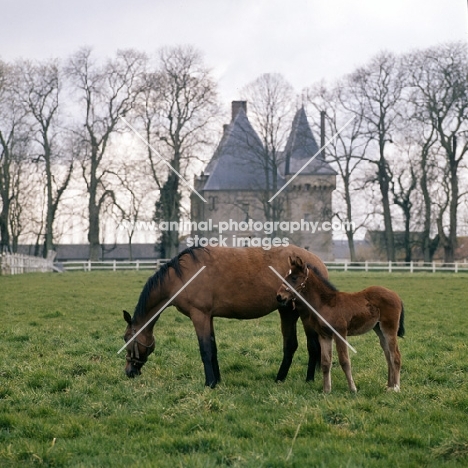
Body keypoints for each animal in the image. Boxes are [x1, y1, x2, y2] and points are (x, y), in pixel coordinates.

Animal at [123, 245, 330, 388]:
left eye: (126, 339)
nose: (129, 372)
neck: (181, 278)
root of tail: (317, 262)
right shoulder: (208, 317)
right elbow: (213, 349)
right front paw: (217, 380)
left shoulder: (199, 315)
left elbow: (205, 350)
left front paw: (209, 383)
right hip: (289, 312)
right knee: (298, 345)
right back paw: (287, 379)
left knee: (306, 346)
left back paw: (302, 379)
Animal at [276, 254, 404, 394]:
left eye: (294, 277)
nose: (279, 296)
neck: (326, 303)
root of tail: (396, 295)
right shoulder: (324, 335)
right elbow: (326, 362)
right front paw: (326, 390)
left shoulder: (340, 333)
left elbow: (344, 361)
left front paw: (353, 389)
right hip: (379, 329)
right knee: (388, 356)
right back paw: (389, 386)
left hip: (389, 328)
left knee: (395, 355)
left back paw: (396, 387)